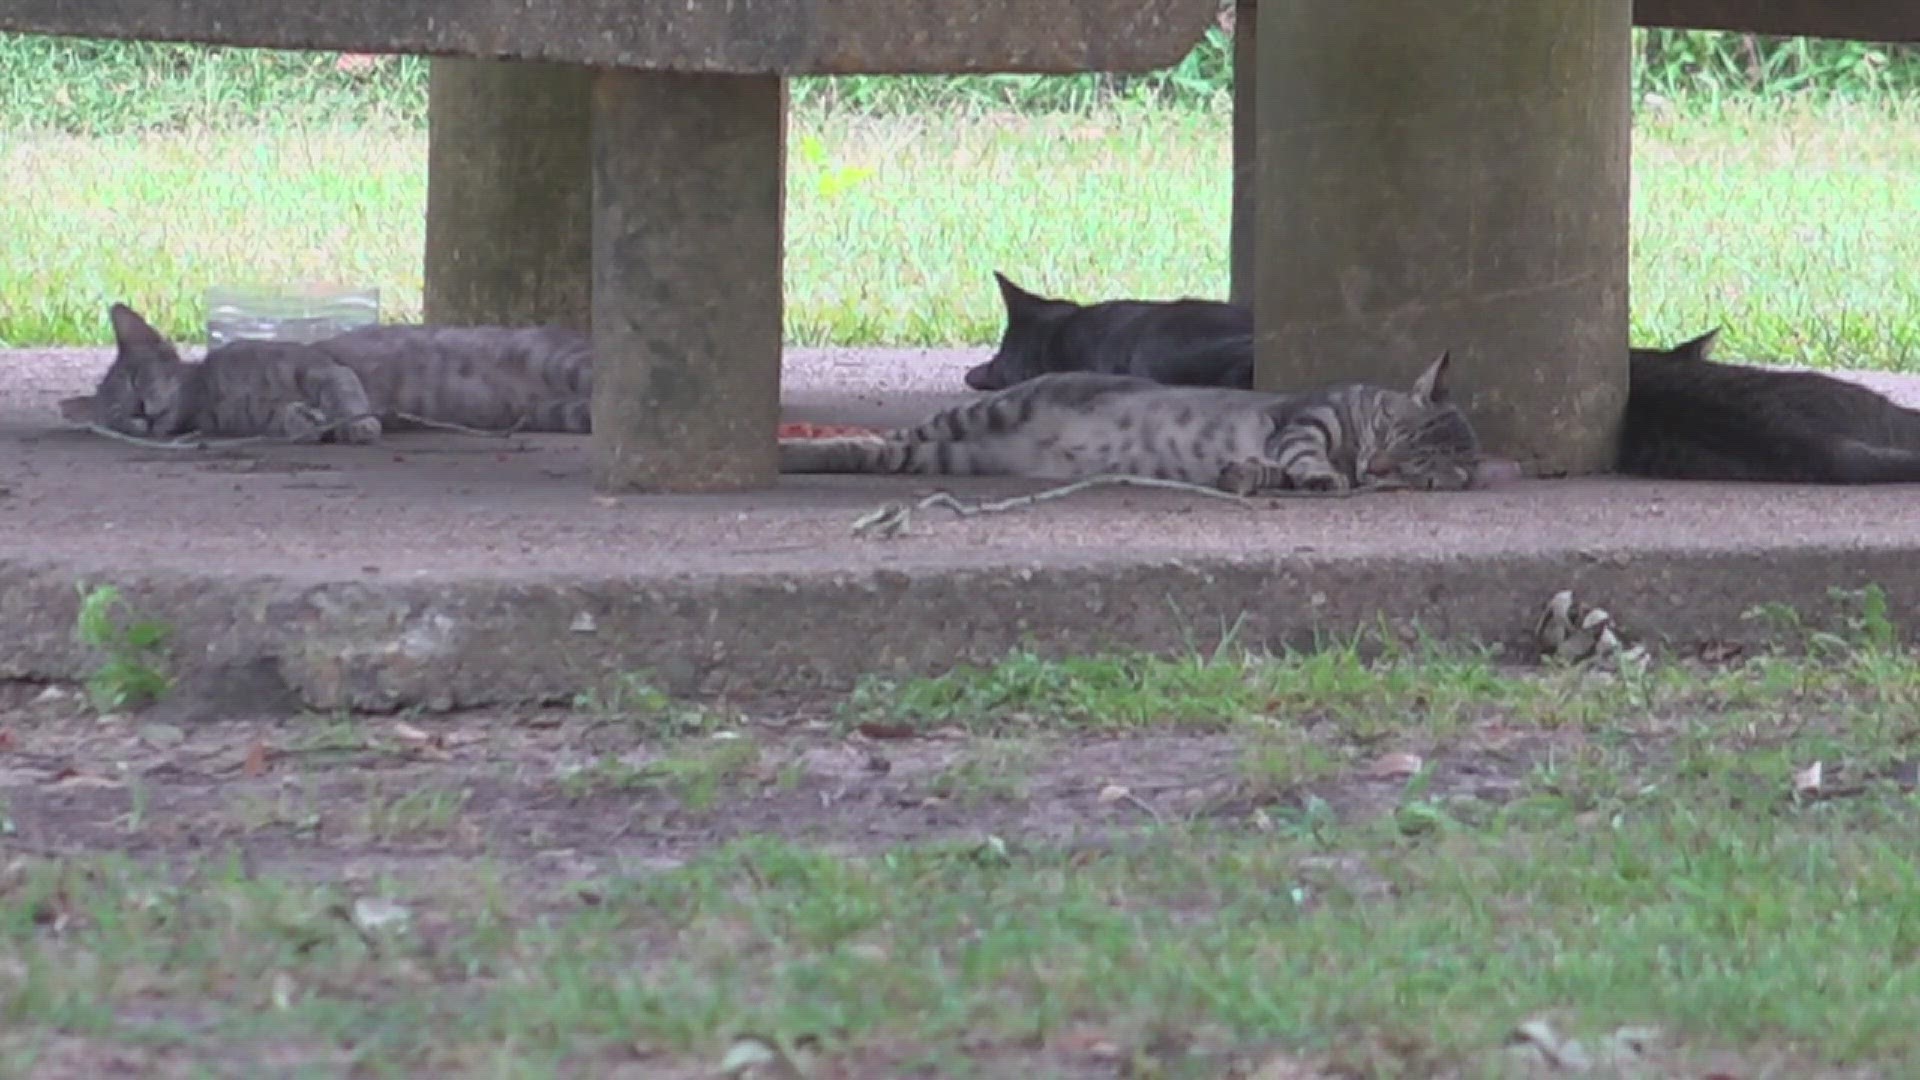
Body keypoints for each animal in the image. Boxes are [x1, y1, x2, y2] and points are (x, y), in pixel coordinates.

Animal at [72, 299, 591, 440]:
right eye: (115, 415)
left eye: (137, 378)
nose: (139, 412)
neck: (211, 396)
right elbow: (292, 418)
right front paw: (309, 423)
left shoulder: (319, 366)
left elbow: (344, 394)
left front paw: (359, 426)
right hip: (559, 412)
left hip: (564, 365)